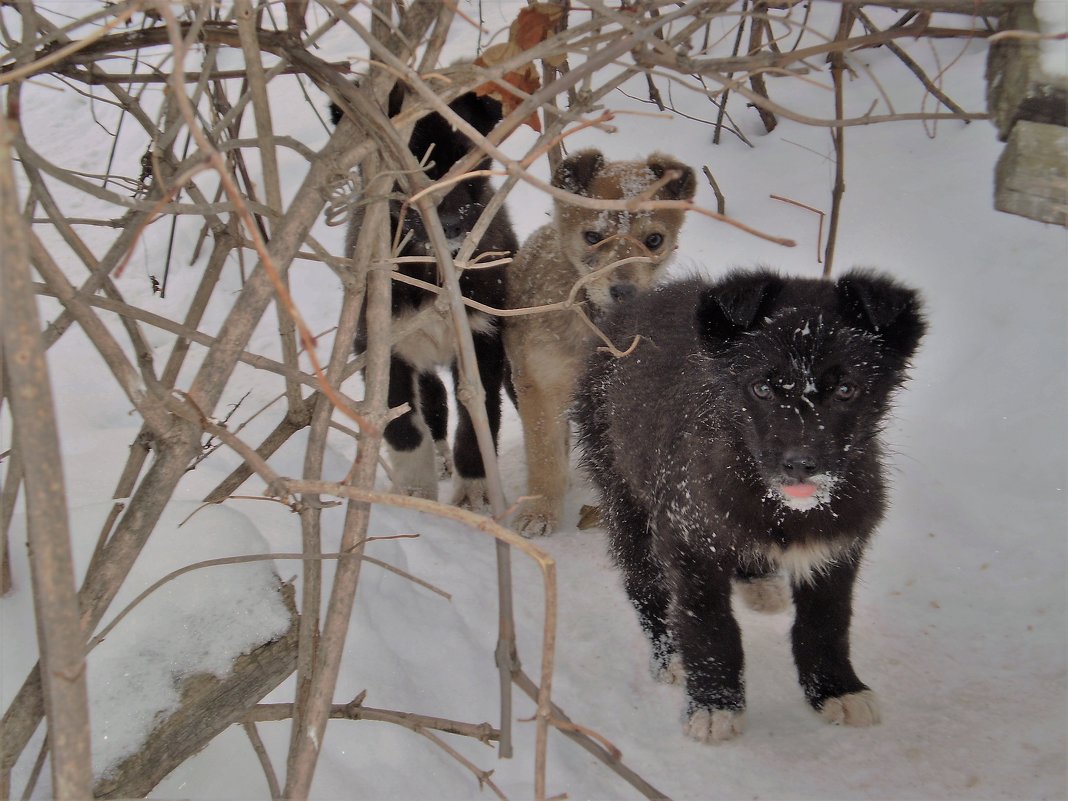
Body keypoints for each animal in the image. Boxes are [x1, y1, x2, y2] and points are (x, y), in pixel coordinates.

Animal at [504, 150, 696, 540]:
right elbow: (545, 455)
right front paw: (539, 511)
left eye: (654, 240)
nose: (623, 290)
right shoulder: (539, 385)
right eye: (593, 236)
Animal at [576, 271, 927, 747]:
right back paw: (670, 653)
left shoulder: (837, 546)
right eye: (761, 388)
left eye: (846, 389)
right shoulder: (688, 541)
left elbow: (827, 623)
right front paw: (714, 705)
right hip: (622, 490)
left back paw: (758, 581)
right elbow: (710, 628)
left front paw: (836, 689)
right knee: (644, 584)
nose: (800, 464)